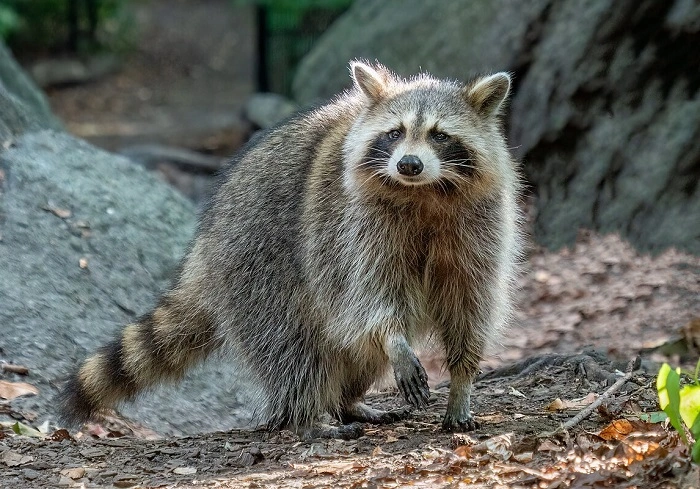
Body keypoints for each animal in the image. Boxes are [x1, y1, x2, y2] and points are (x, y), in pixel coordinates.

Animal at [60, 61, 522, 439]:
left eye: (440, 136)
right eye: (394, 133)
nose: (409, 164)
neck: (424, 192)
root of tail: (204, 247)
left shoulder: (480, 225)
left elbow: (470, 301)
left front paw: (462, 381)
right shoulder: (352, 225)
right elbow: (370, 294)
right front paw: (395, 341)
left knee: (351, 349)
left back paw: (348, 401)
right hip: (256, 261)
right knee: (292, 344)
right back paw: (306, 415)